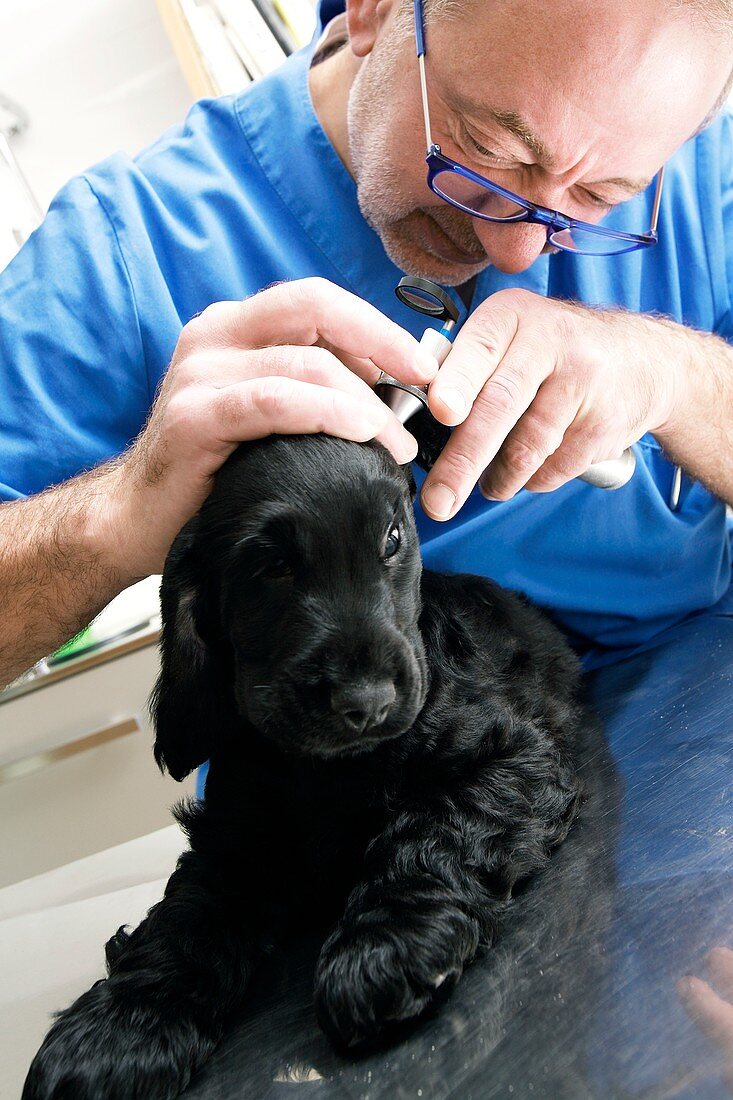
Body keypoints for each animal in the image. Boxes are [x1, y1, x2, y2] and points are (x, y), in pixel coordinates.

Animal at [22, 433, 585, 1095]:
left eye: (392, 539)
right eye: (273, 567)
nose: (367, 702)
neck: (325, 768)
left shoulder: (509, 755)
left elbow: (436, 832)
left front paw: (384, 948)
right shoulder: (233, 834)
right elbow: (187, 915)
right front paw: (115, 1031)